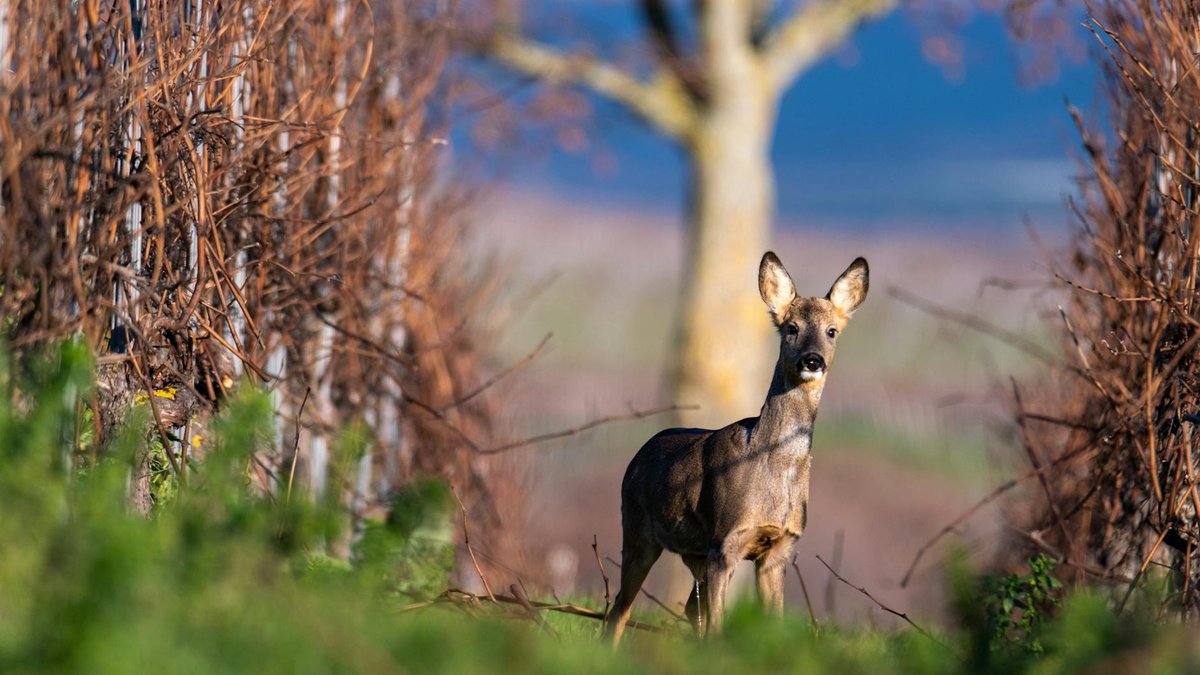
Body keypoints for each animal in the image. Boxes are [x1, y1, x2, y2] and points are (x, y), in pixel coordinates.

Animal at [603, 251, 868, 644]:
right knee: (620, 607)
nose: (812, 360)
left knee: (688, 609)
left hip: (692, 551)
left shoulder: (779, 548)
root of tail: (637, 455)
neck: (775, 471)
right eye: (791, 328)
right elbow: (718, 625)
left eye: (832, 331)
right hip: (637, 529)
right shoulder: (725, 542)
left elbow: (771, 624)